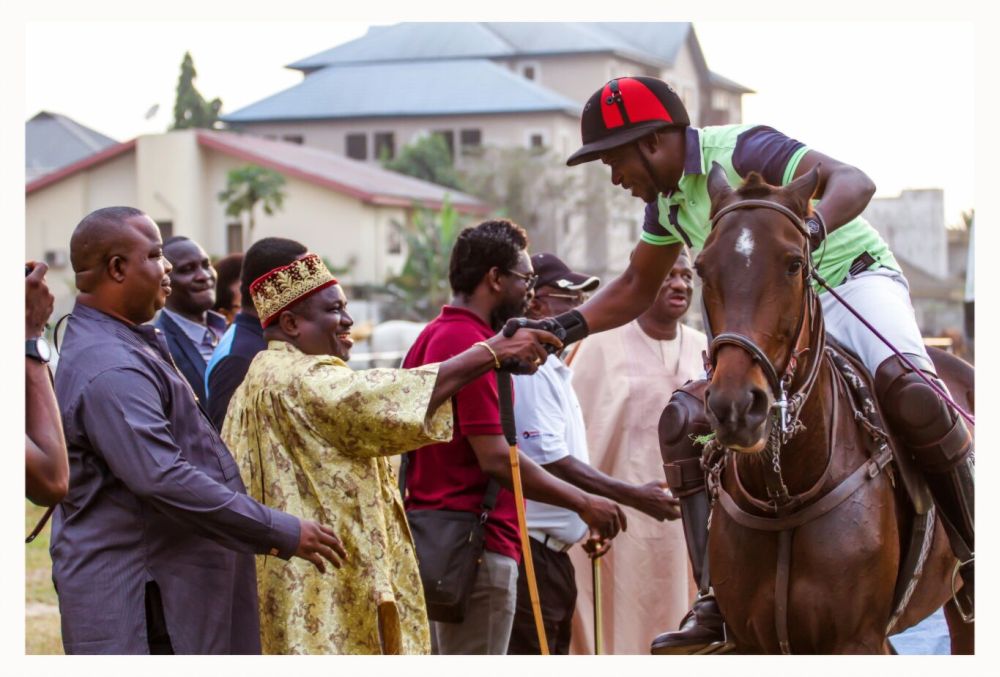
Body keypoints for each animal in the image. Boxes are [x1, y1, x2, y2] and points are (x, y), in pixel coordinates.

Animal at [696, 161, 976, 652]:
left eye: (794, 264)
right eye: (700, 268)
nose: (737, 406)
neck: (783, 496)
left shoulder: (856, 638)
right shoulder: (750, 641)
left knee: (919, 400)